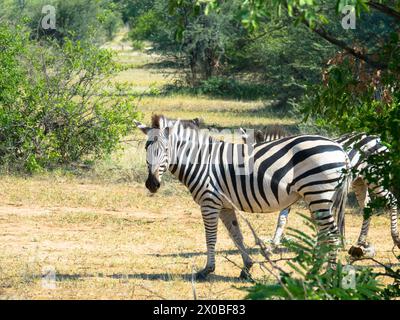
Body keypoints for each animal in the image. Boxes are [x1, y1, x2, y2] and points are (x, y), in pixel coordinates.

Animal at [134, 115, 350, 280]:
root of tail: (340, 149)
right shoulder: (225, 206)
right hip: (318, 198)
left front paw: (207, 270)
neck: (201, 161)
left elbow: (210, 237)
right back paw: (315, 271)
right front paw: (247, 268)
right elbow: (236, 236)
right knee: (324, 234)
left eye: (166, 150)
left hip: (318, 194)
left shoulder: (209, 202)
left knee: (331, 234)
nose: (151, 184)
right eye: (146, 148)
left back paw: (328, 275)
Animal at [241, 126, 400, 256]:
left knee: (392, 200)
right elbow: (283, 219)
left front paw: (321, 244)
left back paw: (395, 238)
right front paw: (272, 246)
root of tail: (376, 138)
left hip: (376, 178)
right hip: (360, 181)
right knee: (367, 208)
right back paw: (361, 242)